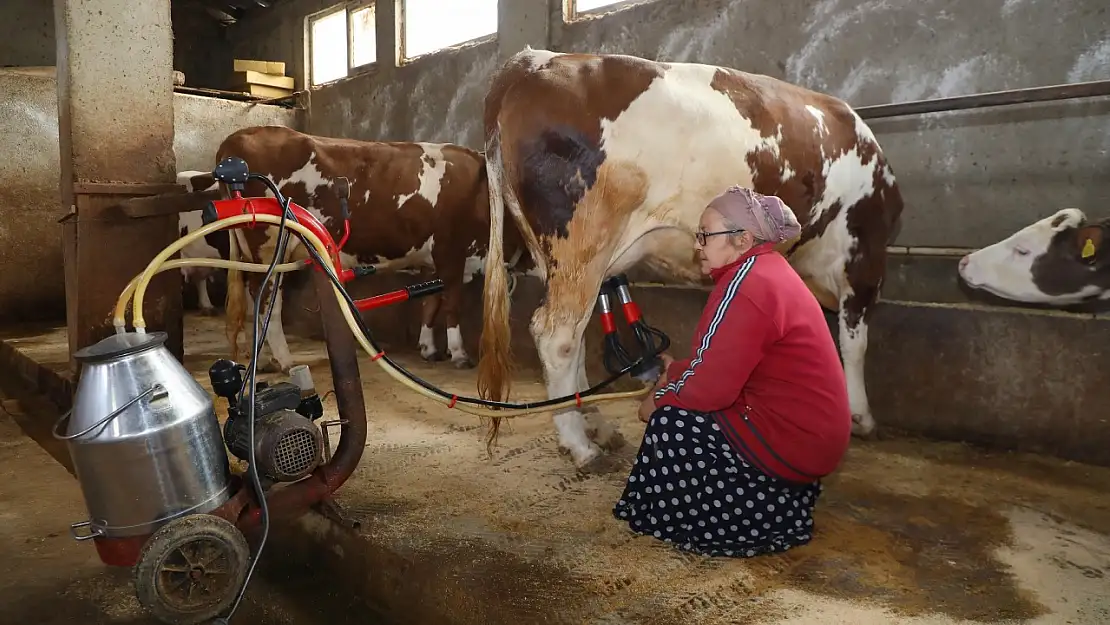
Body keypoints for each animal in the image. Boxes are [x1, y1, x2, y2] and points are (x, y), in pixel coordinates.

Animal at [196, 125, 532, 375]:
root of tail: (237, 139)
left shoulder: (432, 259)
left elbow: (430, 303)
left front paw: (428, 347)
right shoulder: (451, 250)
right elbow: (451, 304)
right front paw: (459, 353)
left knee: (255, 301)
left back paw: (265, 359)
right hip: (269, 248)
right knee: (268, 303)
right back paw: (286, 361)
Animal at [475, 48, 901, 470]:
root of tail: (534, 60)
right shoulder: (865, 257)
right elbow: (854, 343)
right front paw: (861, 417)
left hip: (566, 258)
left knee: (574, 336)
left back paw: (596, 425)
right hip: (582, 242)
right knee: (558, 335)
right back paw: (580, 444)